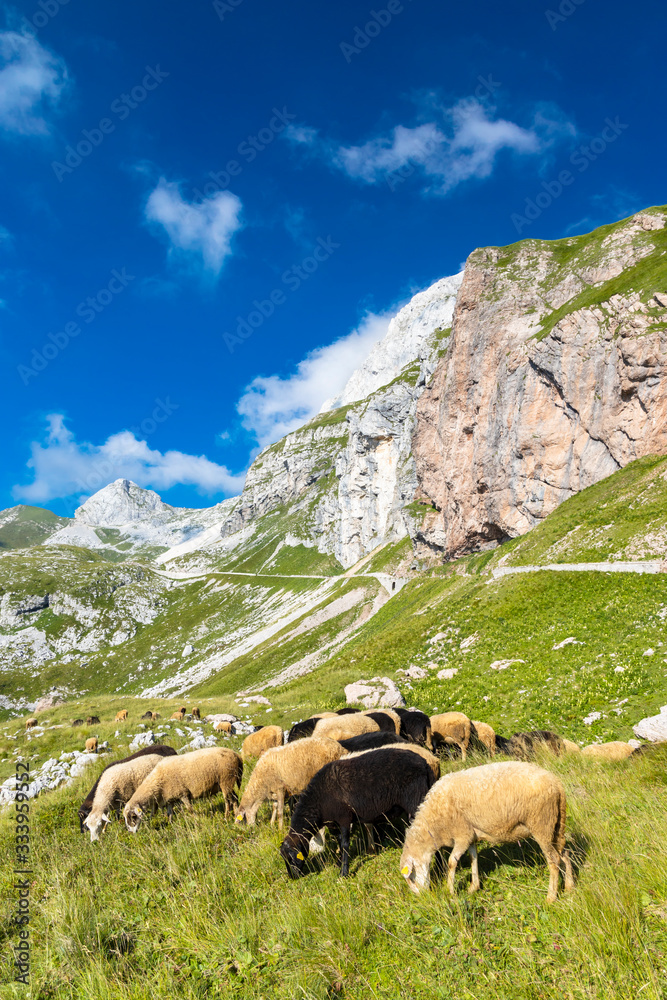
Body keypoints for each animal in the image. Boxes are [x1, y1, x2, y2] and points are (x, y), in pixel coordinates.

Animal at [282, 748, 438, 880]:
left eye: (290, 858)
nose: (292, 878)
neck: (318, 801)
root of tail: (424, 763)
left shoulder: (344, 818)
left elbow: (345, 844)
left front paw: (344, 873)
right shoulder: (335, 823)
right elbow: (340, 841)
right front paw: (339, 863)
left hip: (415, 800)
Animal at [400, 760, 576, 904]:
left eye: (411, 877)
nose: (422, 897)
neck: (433, 826)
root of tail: (556, 783)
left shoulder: (462, 835)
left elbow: (451, 862)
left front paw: (449, 891)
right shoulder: (471, 835)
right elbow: (473, 857)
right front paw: (474, 887)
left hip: (541, 824)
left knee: (554, 859)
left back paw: (551, 897)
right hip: (556, 824)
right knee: (564, 853)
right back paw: (569, 887)